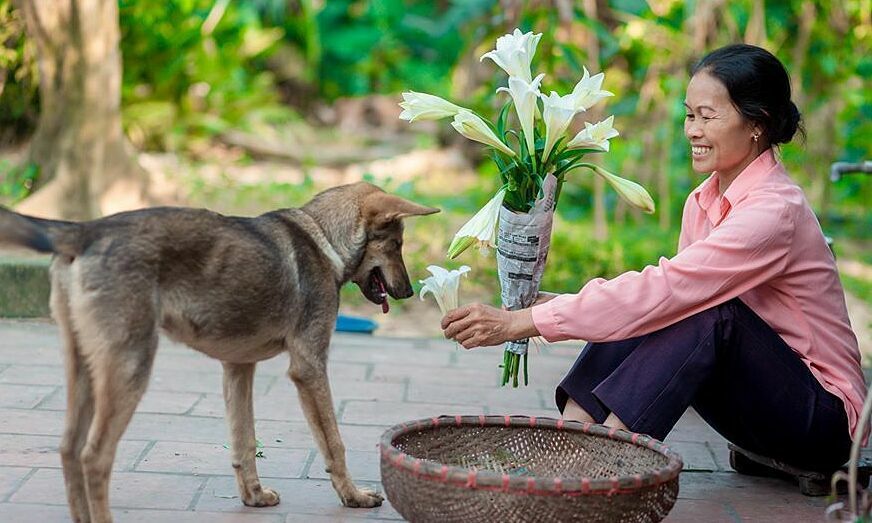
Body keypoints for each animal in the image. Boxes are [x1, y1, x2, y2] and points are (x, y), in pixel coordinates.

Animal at [0, 182, 436, 520]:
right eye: (396, 245)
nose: (408, 292)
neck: (322, 238)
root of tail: (85, 230)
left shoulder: (238, 367)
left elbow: (244, 441)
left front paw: (254, 497)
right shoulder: (309, 367)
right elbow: (334, 442)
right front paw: (354, 497)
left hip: (84, 370)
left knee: (68, 450)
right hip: (128, 369)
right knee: (94, 457)